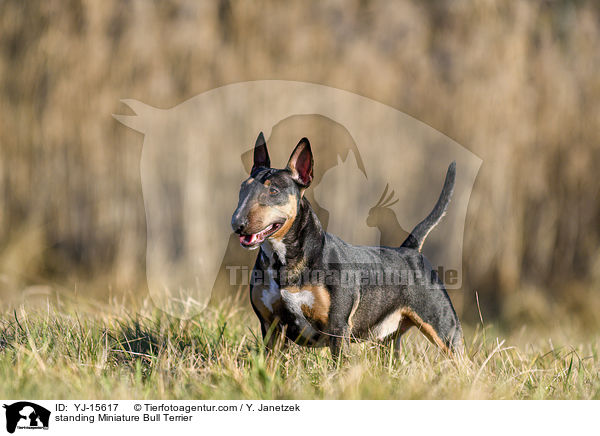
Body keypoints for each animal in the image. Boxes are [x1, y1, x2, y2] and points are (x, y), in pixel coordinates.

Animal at [231, 133, 464, 358]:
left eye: (273, 191)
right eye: (243, 188)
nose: (237, 224)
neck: (284, 260)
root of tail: (410, 250)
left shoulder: (337, 328)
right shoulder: (271, 328)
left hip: (445, 330)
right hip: (388, 344)